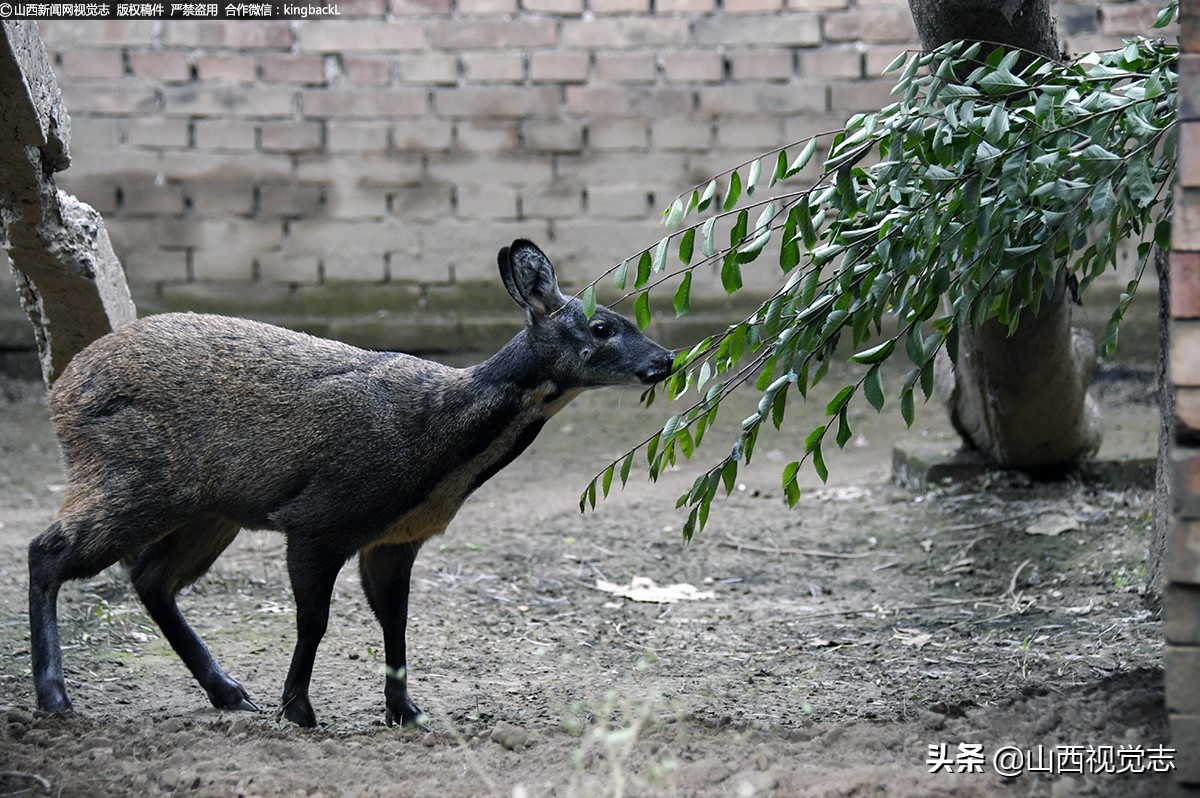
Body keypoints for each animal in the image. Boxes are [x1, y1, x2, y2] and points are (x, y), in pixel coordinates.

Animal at [28, 241, 676, 729]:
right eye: (602, 326)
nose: (665, 360)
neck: (433, 440)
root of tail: (59, 396)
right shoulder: (318, 520)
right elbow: (314, 620)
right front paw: (300, 710)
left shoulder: (395, 538)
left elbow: (396, 622)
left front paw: (405, 711)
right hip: (128, 478)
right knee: (47, 552)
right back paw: (55, 697)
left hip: (209, 510)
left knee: (150, 577)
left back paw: (229, 691)